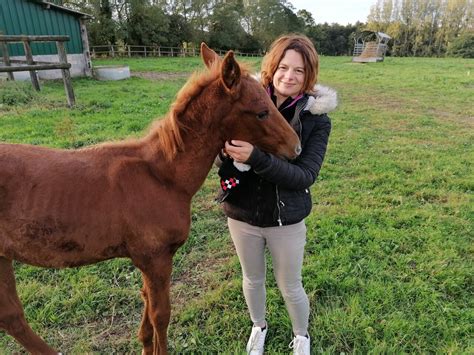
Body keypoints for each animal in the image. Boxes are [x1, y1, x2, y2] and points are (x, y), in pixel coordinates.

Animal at [0, 43, 300, 354]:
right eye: (262, 112)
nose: (296, 147)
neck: (161, 176)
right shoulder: (155, 259)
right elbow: (160, 315)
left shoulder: (147, 262)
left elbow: (146, 312)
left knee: (11, 317)